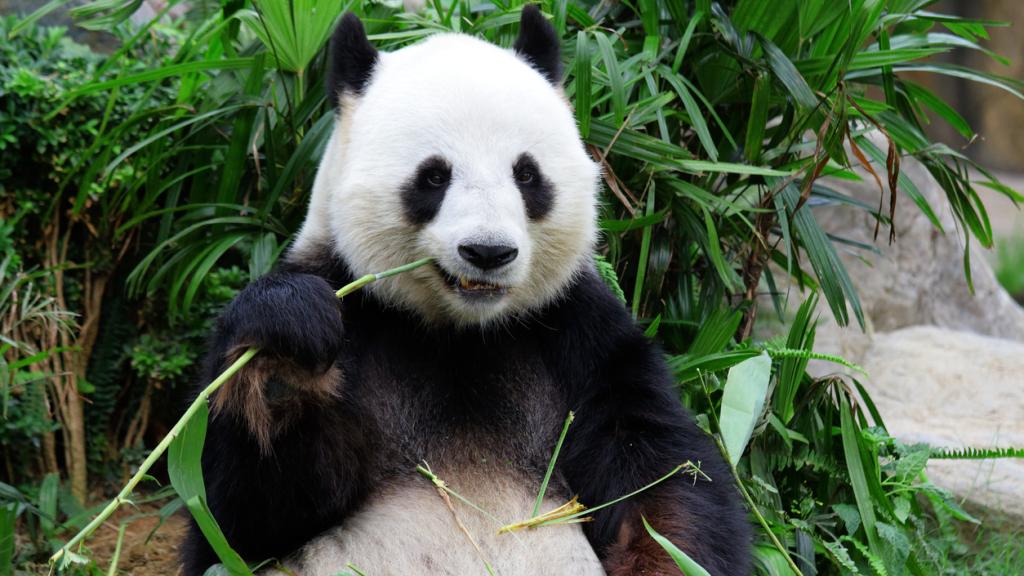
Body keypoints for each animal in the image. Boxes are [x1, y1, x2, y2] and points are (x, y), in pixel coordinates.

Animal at [181, 6, 751, 576]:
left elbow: (661, 476)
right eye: (434, 176)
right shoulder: (353, 303)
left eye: (527, 174)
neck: (460, 333)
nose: (488, 252)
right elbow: (240, 518)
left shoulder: (580, 332)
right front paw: (285, 355)